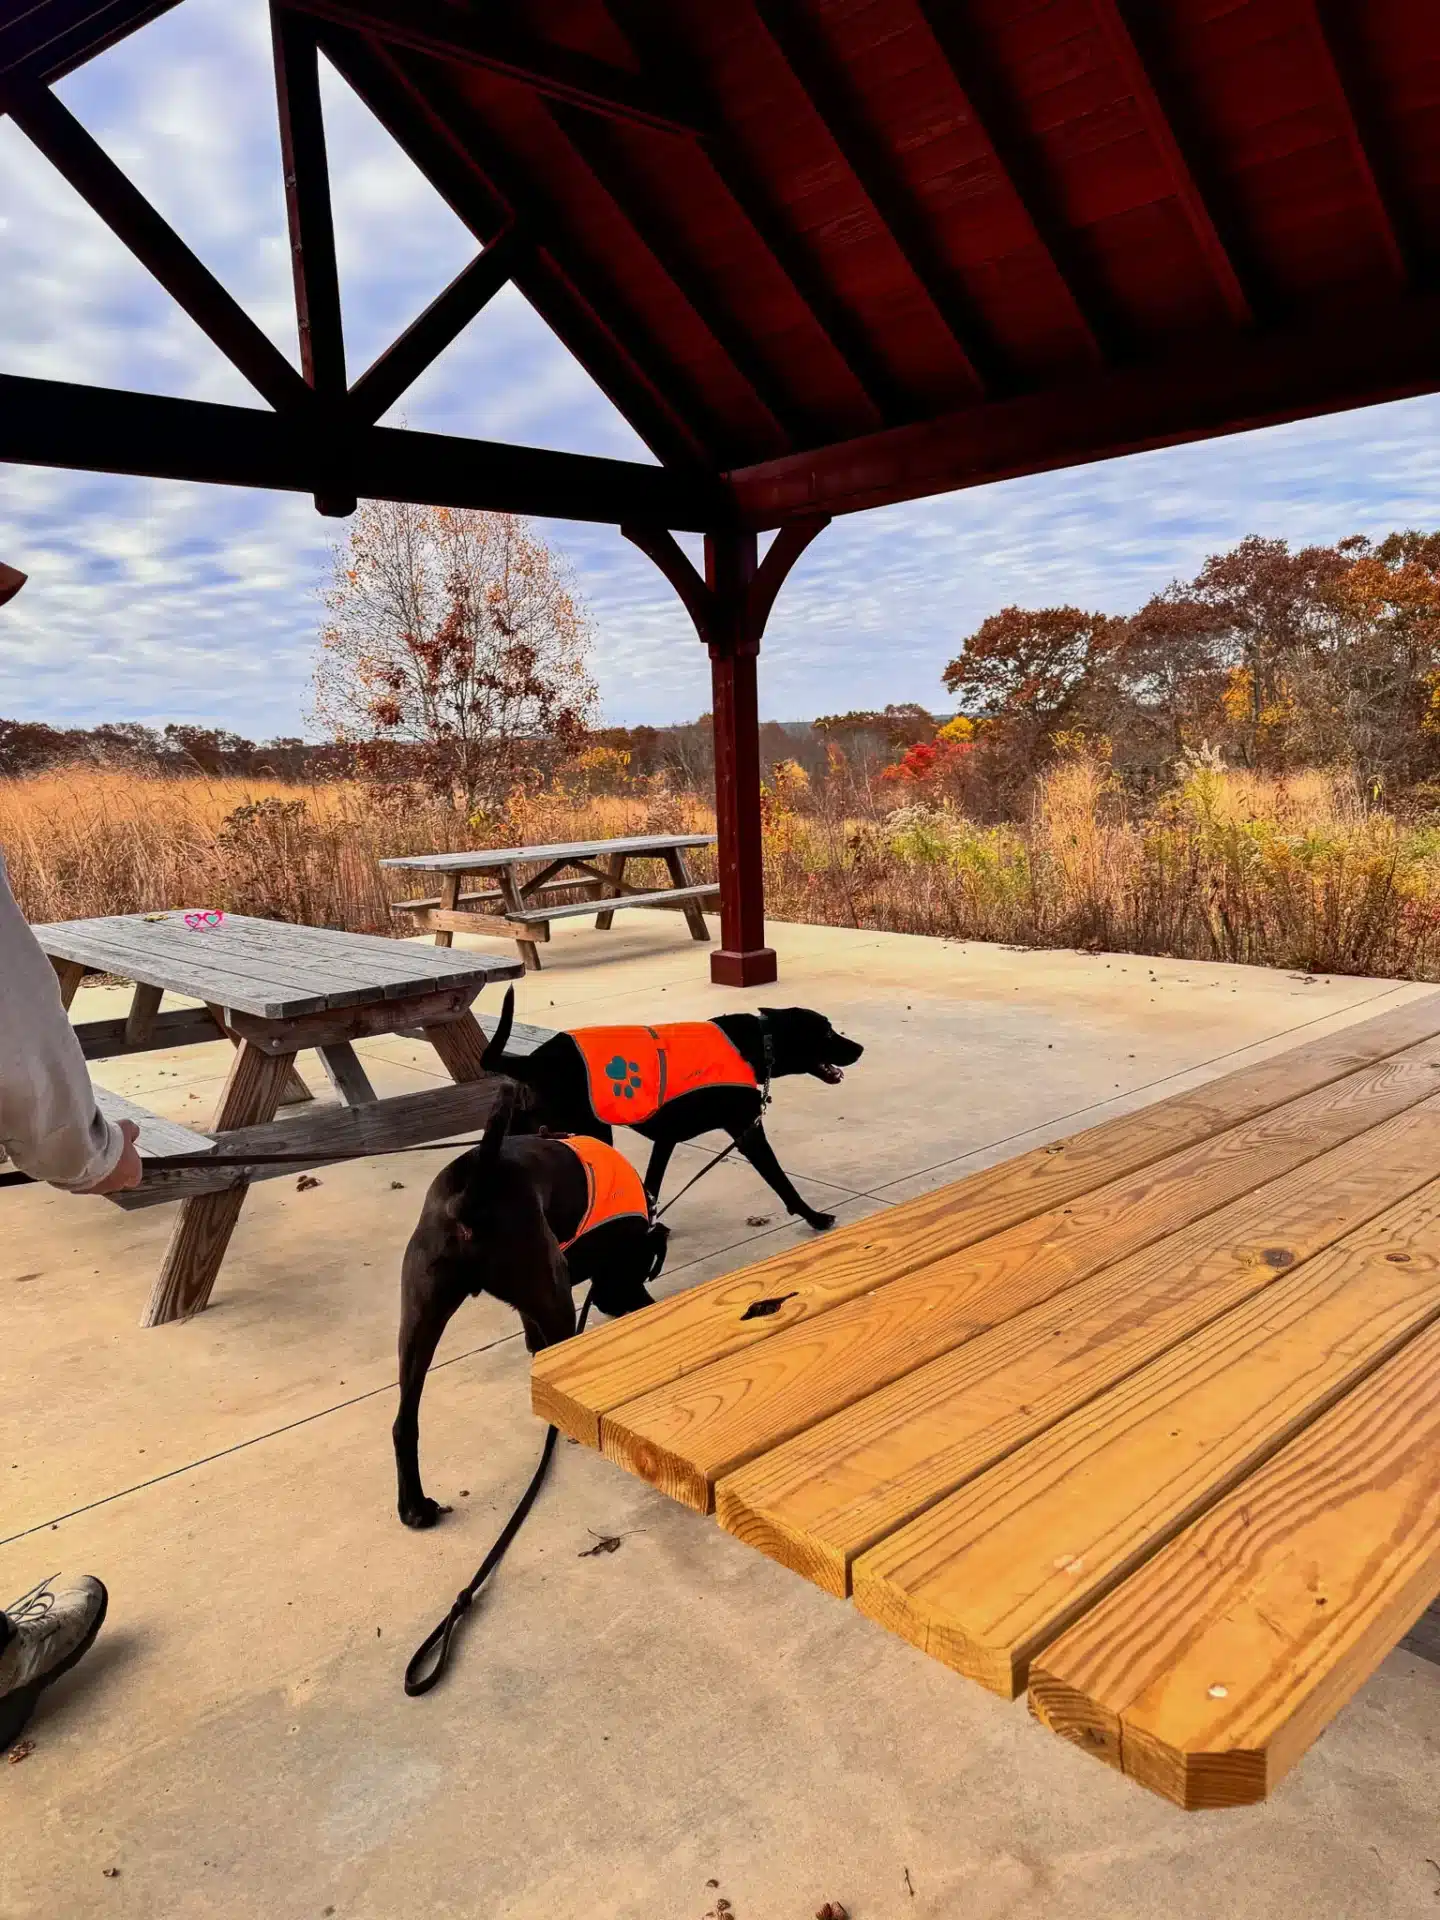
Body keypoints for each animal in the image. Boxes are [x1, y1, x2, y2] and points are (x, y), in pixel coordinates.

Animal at [391, 1098, 668, 1528]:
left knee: (404, 1423)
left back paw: (414, 1507)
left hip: (420, 1316)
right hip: (553, 1295)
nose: (645, 1305)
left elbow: (531, 1336)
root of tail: (475, 1187)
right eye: (635, 1270)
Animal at [485, 983, 867, 1236]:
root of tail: (532, 1062)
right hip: (591, 1130)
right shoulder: (747, 1132)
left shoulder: (665, 1140)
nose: (860, 1048)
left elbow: (651, 1186)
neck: (759, 1044)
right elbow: (780, 1179)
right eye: (827, 1033)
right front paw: (814, 1216)